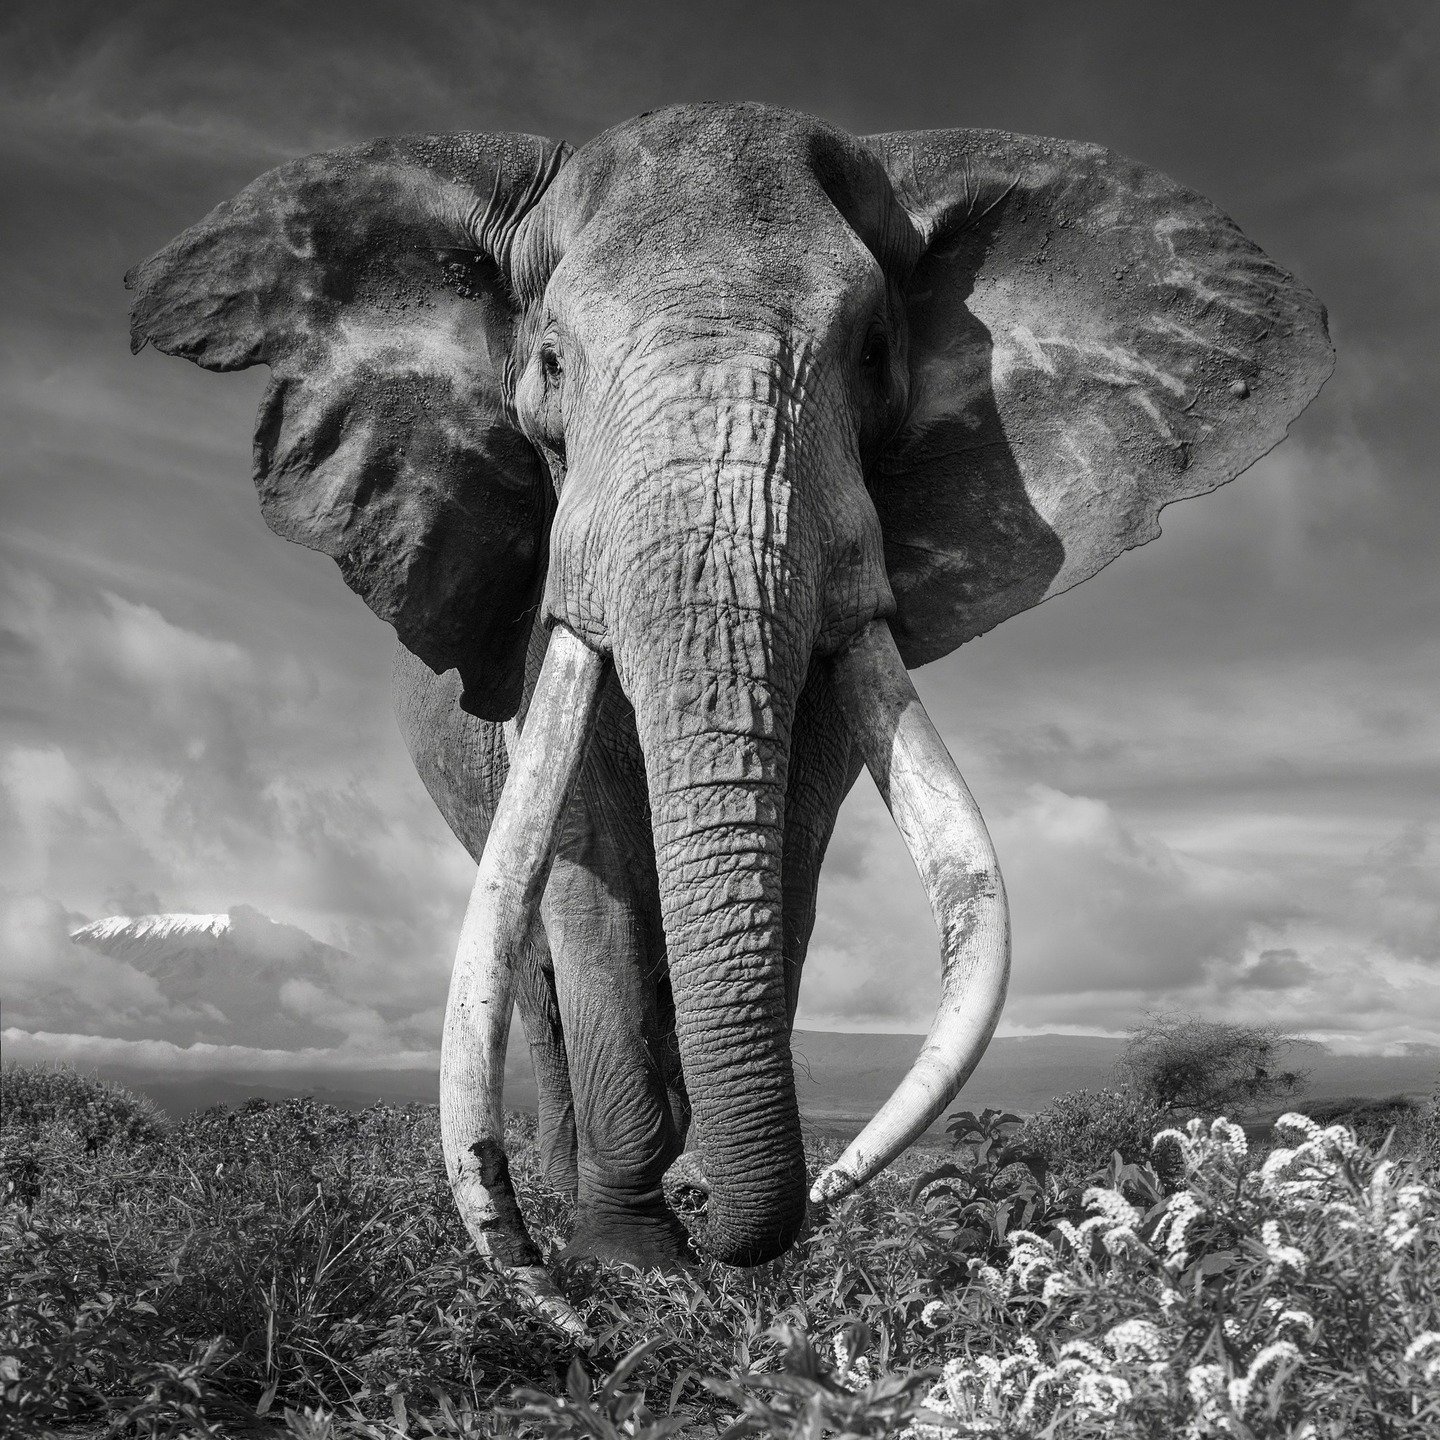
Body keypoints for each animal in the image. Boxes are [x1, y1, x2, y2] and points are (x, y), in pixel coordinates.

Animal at [127, 103, 1331, 1339]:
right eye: (550, 363)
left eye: (874, 354)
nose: (713, 1208)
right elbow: (594, 867)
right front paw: (628, 1267)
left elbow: (792, 859)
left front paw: (728, 1245)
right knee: (542, 968)